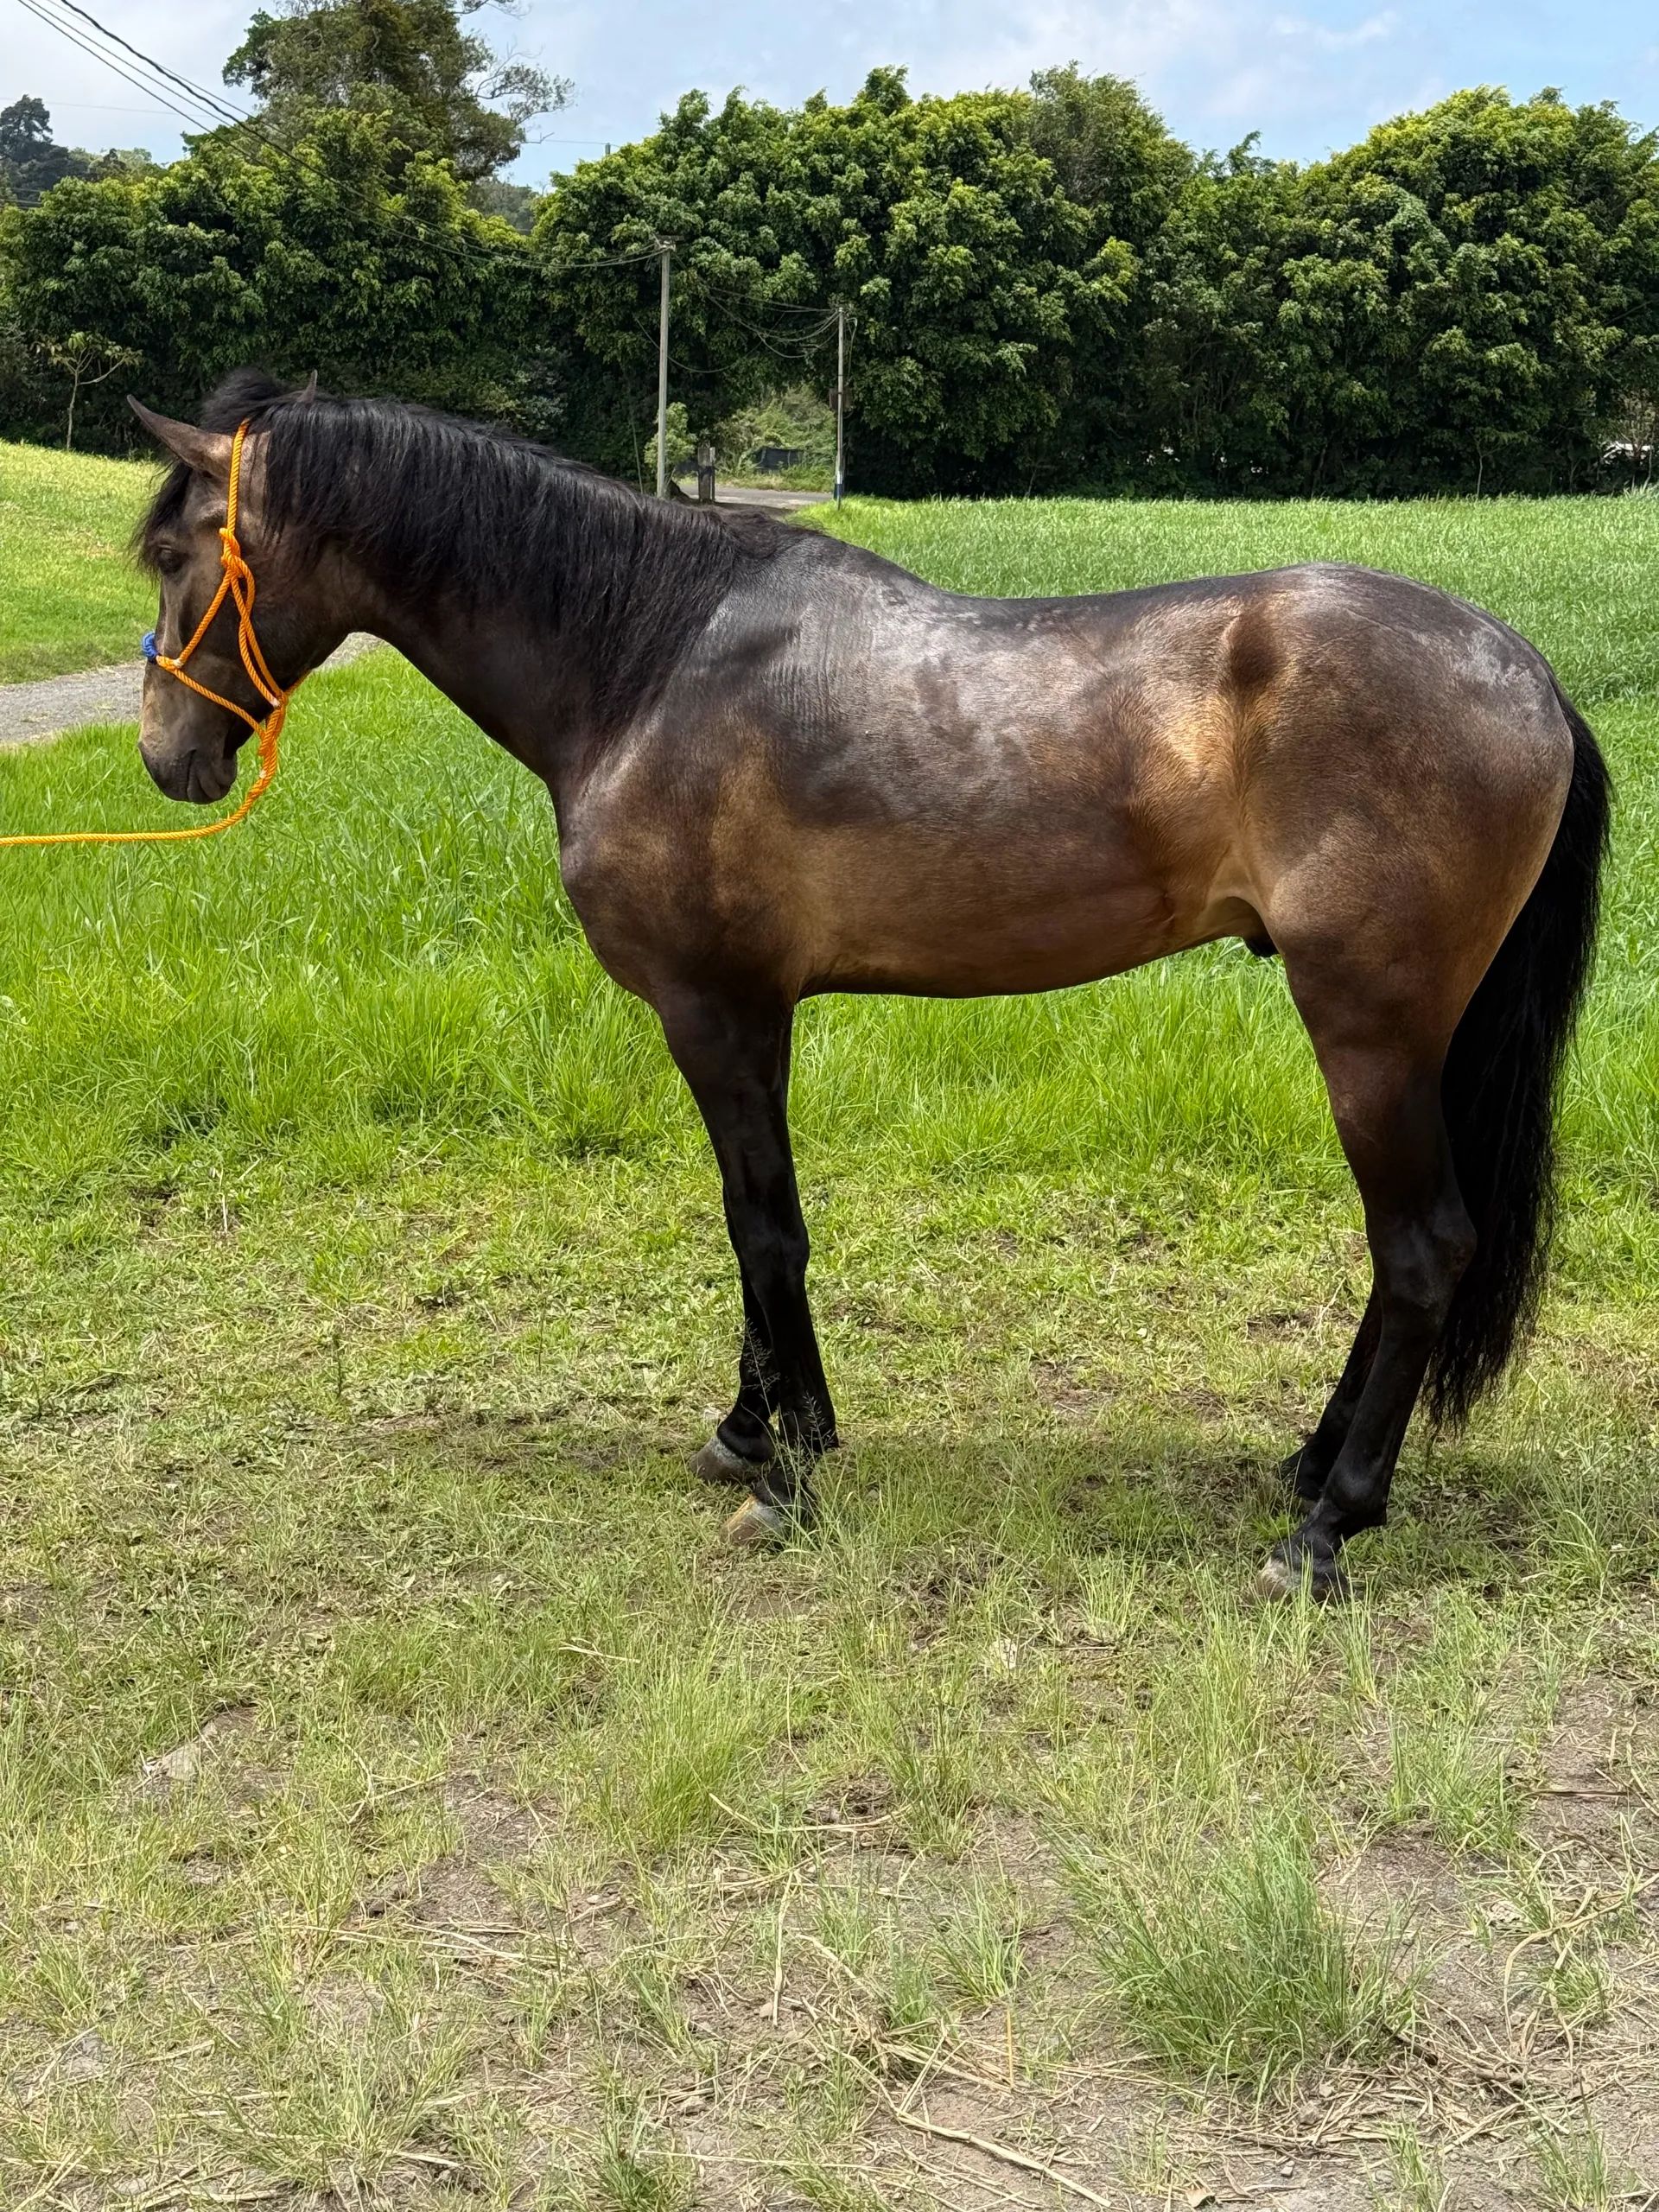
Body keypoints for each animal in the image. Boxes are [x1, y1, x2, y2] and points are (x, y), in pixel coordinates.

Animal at [129, 372, 1609, 1599]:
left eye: (176, 551)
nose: (166, 755)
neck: (646, 662)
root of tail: (1526, 671)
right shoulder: (750, 1016)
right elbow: (752, 1222)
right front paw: (753, 1430)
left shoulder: (716, 1009)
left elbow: (764, 1230)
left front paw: (787, 1470)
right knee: (1410, 1255)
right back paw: (1310, 1467)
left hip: (1369, 1031)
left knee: (1422, 1250)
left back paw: (1326, 1528)